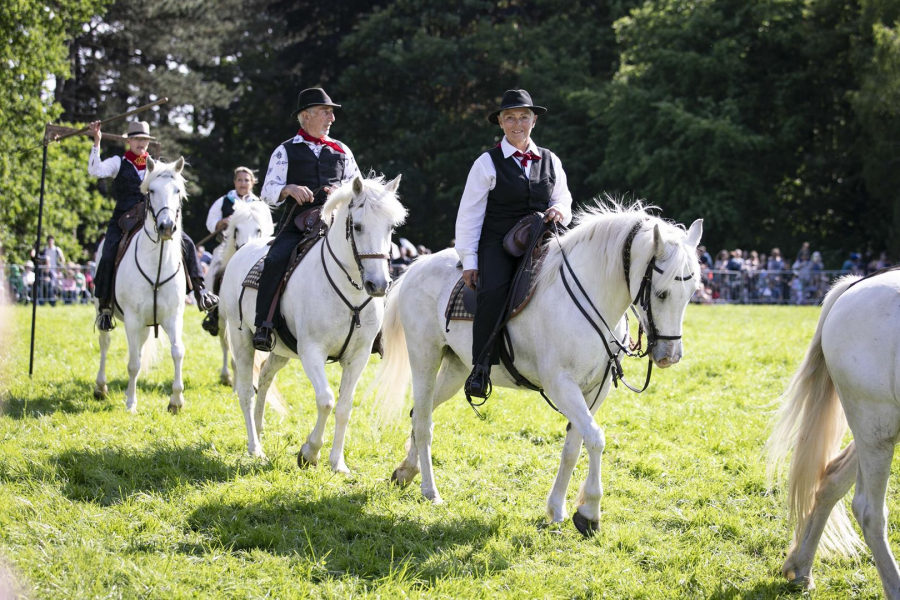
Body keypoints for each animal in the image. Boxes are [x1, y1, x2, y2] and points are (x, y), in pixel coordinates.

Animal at [95, 157, 188, 414]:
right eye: (152, 191)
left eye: (177, 191)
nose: (167, 227)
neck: (157, 265)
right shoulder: (133, 319)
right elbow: (133, 363)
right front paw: (130, 403)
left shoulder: (172, 317)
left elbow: (177, 351)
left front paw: (176, 400)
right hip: (103, 310)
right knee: (105, 343)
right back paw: (101, 387)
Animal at [204, 200, 274, 384]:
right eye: (236, 229)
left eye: (258, 229)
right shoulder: (229, 321)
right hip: (223, 321)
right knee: (224, 344)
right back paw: (226, 376)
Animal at [221, 172, 408, 464]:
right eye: (358, 227)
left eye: (390, 228)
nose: (378, 285)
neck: (349, 294)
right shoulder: (312, 351)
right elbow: (326, 400)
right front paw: (310, 451)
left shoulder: (358, 357)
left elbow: (344, 406)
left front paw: (337, 462)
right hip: (241, 339)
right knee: (245, 391)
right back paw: (255, 447)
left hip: (280, 350)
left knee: (264, 378)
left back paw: (260, 431)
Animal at [374, 202, 704, 536]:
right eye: (661, 293)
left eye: (692, 292)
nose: (670, 355)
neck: (592, 299)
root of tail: (417, 266)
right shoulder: (562, 385)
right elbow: (596, 438)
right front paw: (590, 512)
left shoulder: (595, 390)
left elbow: (574, 446)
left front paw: (558, 509)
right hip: (424, 358)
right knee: (423, 422)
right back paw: (430, 491)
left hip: (454, 370)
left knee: (419, 413)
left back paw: (407, 470)